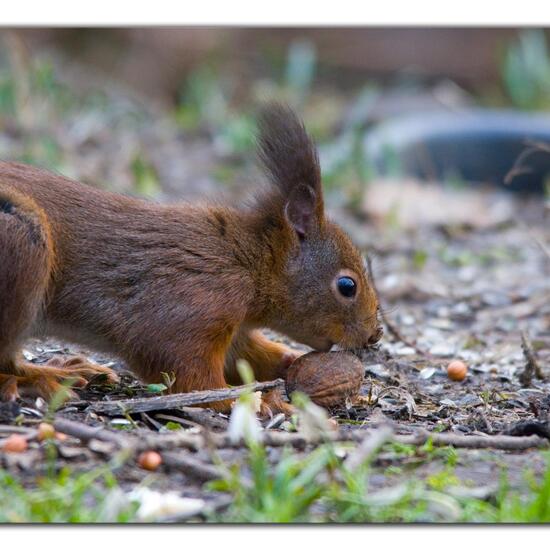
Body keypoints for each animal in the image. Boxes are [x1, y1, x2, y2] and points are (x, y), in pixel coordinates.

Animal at [0, 104, 384, 414]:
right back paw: (39, 380)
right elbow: (189, 376)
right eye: (347, 285)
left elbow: (247, 355)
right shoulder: (193, 305)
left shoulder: (235, 331)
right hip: (22, 245)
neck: (247, 263)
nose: (375, 335)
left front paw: (293, 365)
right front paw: (256, 401)